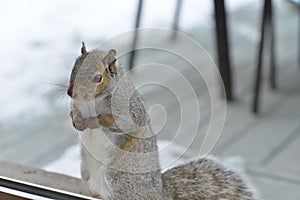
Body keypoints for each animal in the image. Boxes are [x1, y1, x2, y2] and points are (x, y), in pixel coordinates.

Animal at [68, 42, 258, 200]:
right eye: (74, 67)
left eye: (98, 78)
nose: (71, 93)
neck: (92, 102)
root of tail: (160, 194)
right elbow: (74, 113)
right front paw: (76, 120)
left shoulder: (128, 109)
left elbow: (120, 122)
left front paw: (92, 121)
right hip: (87, 174)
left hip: (116, 179)